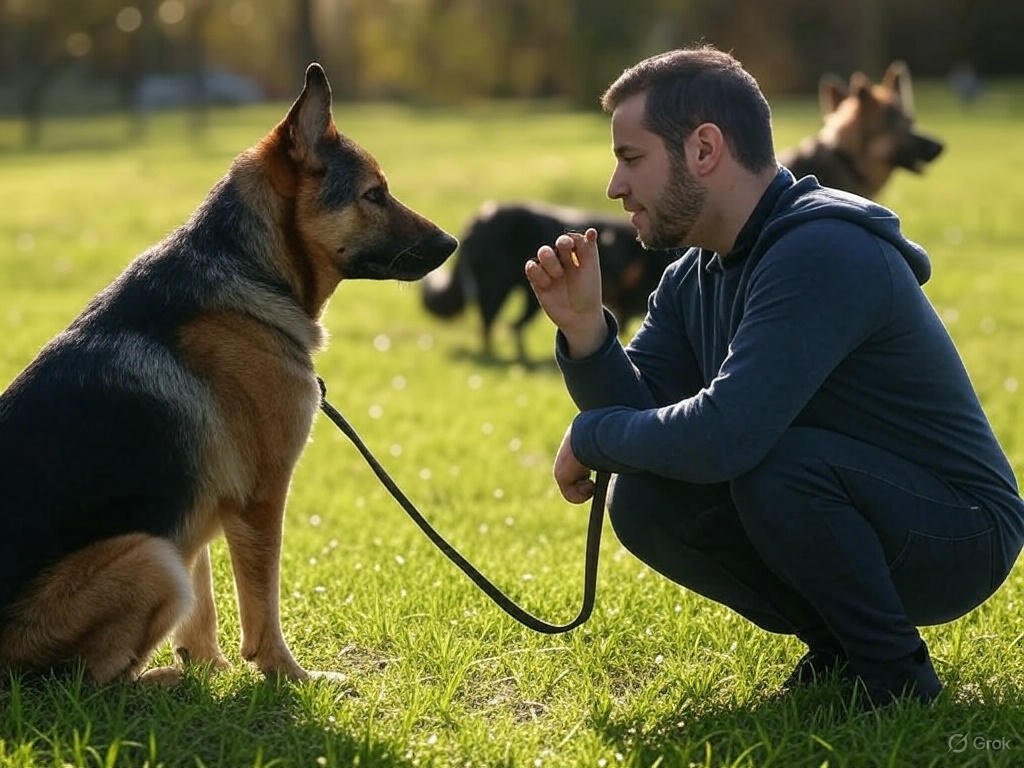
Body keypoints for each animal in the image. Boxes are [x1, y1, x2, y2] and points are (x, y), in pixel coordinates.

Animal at [0, 61, 456, 684]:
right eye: (374, 194)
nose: (452, 243)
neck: (252, 271)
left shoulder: (201, 512)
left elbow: (204, 609)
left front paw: (208, 669)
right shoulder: (260, 499)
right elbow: (260, 608)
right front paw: (289, 677)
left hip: (163, 550)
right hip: (150, 557)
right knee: (82, 683)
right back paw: (158, 682)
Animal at [419, 202, 675, 362]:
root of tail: (476, 220)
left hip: (527, 298)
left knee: (513, 326)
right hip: (495, 289)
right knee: (490, 326)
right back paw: (495, 355)